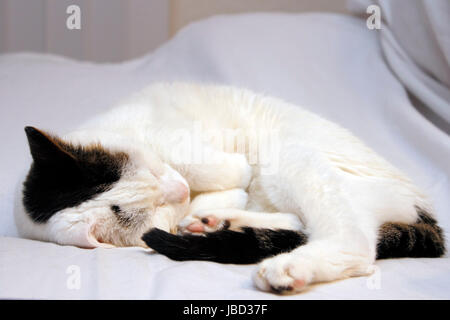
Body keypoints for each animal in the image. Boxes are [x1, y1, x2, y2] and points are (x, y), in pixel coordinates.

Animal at [18, 83, 446, 296]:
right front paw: (207, 209)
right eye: (154, 212)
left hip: (286, 156)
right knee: (313, 228)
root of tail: (424, 209)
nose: (178, 190)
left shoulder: (174, 142)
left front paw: (215, 187)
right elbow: (227, 186)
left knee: (351, 241)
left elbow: (224, 169)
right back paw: (217, 223)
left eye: (153, 173)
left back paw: (282, 265)